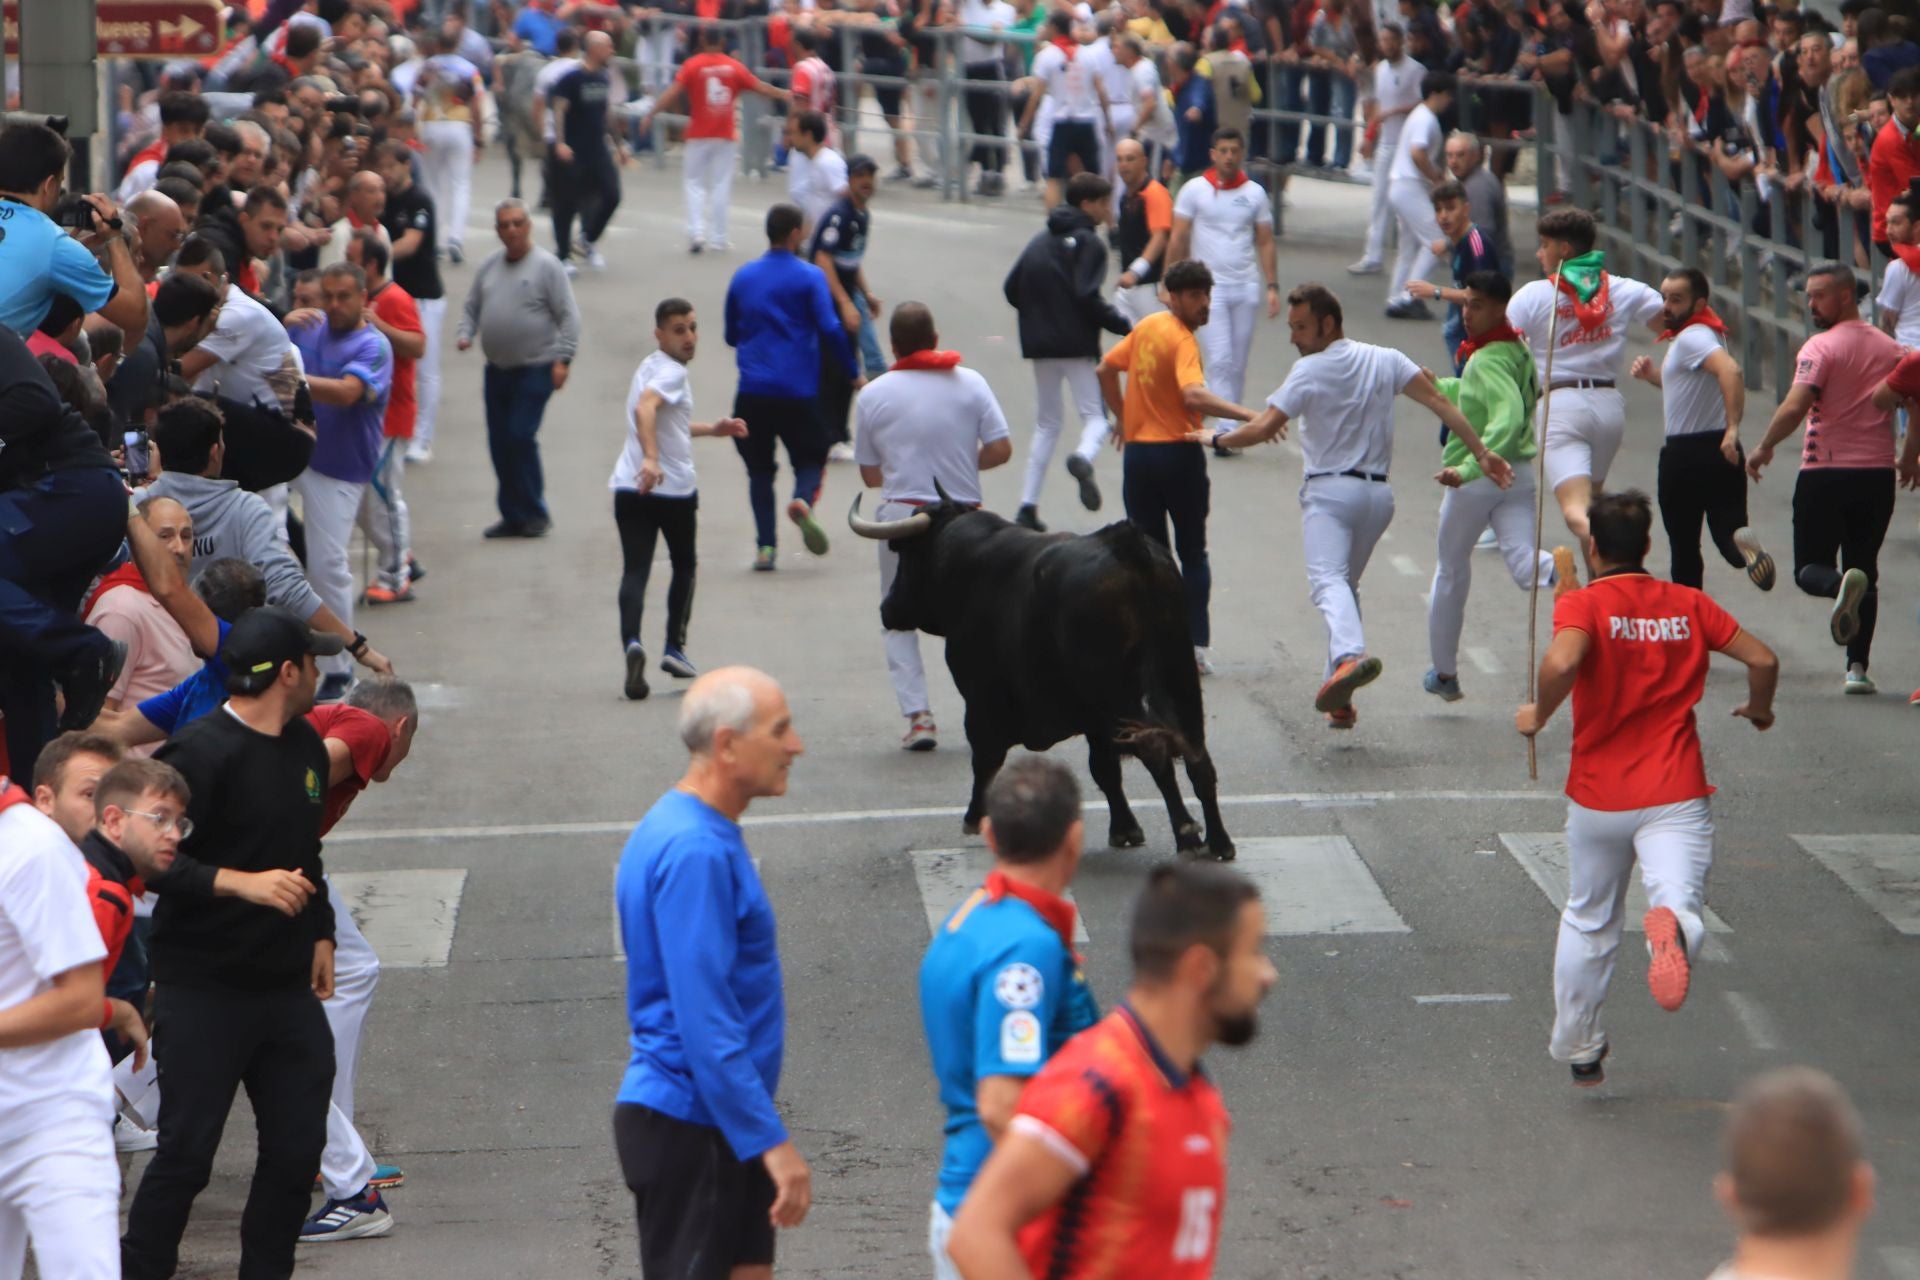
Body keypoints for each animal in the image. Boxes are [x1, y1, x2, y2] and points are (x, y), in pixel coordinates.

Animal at [848, 491, 1236, 859]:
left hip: (1123, 692)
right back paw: (1218, 841)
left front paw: (975, 818)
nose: (887, 608)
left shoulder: (981, 699)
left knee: (1157, 751)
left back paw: (1187, 834)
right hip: (1180, 679)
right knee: (1198, 759)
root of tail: (1126, 545)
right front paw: (1125, 828)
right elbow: (1104, 769)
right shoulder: (1094, 719)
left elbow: (985, 759)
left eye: (906, 554)